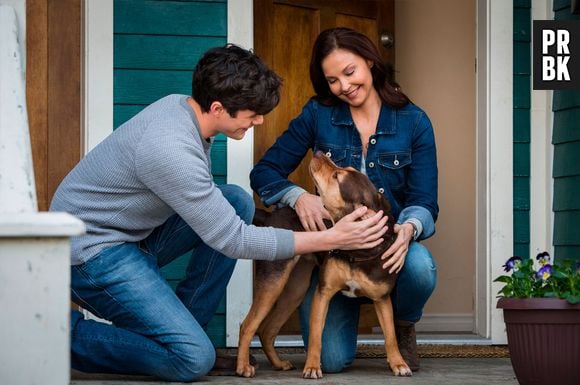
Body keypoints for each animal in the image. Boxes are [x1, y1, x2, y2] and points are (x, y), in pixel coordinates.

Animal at [236, 151, 412, 378]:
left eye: (337, 177)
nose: (319, 153)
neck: (356, 252)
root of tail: (272, 215)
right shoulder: (323, 293)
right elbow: (315, 337)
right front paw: (312, 366)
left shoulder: (381, 299)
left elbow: (390, 336)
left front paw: (399, 363)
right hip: (274, 282)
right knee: (248, 325)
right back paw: (242, 366)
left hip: (296, 290)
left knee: (267, 330)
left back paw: (278, 363)